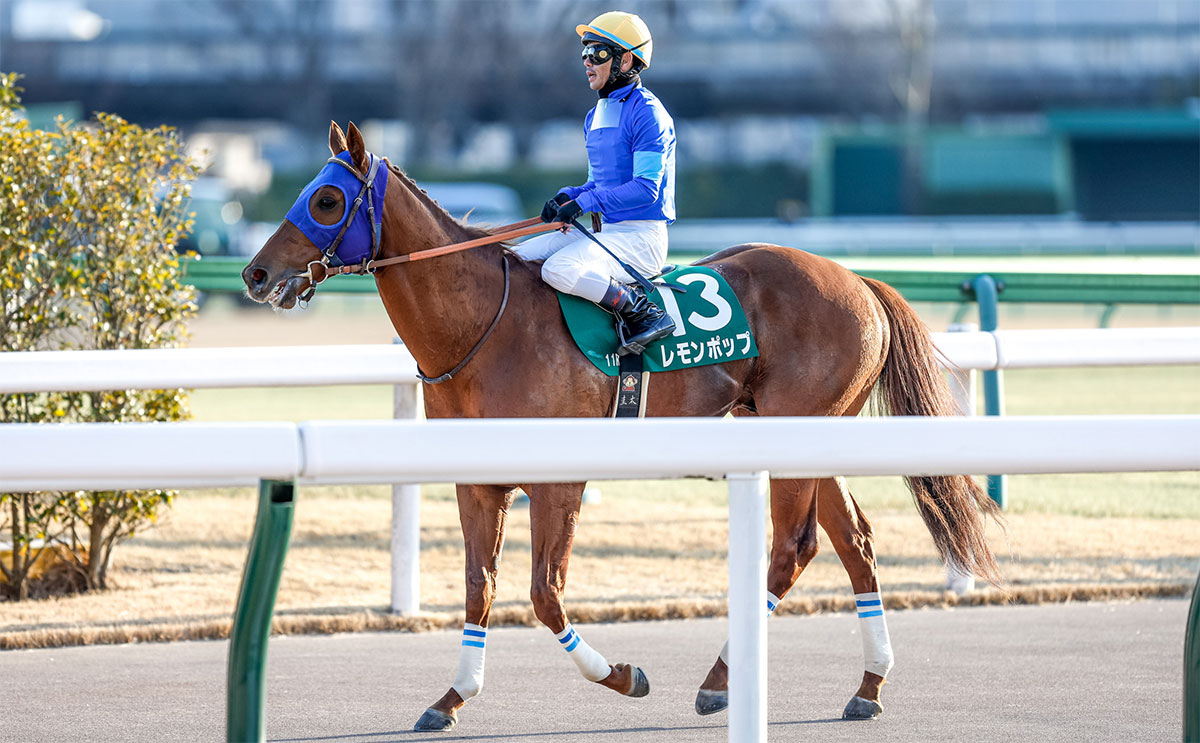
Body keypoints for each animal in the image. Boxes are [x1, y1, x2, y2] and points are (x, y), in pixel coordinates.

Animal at [243, 121, 1003, 734]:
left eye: (326, 199)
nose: (255, 273)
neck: (485, 326)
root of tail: (856, 280)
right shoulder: (476, 482)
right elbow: (480, 585)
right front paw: (450, 697)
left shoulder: (559, 484)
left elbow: (544, 594)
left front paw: (622, 675)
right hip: (813, 435)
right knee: (855, 541)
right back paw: (868, 685)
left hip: (796, 433)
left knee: (794, 546)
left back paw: (720, 681)